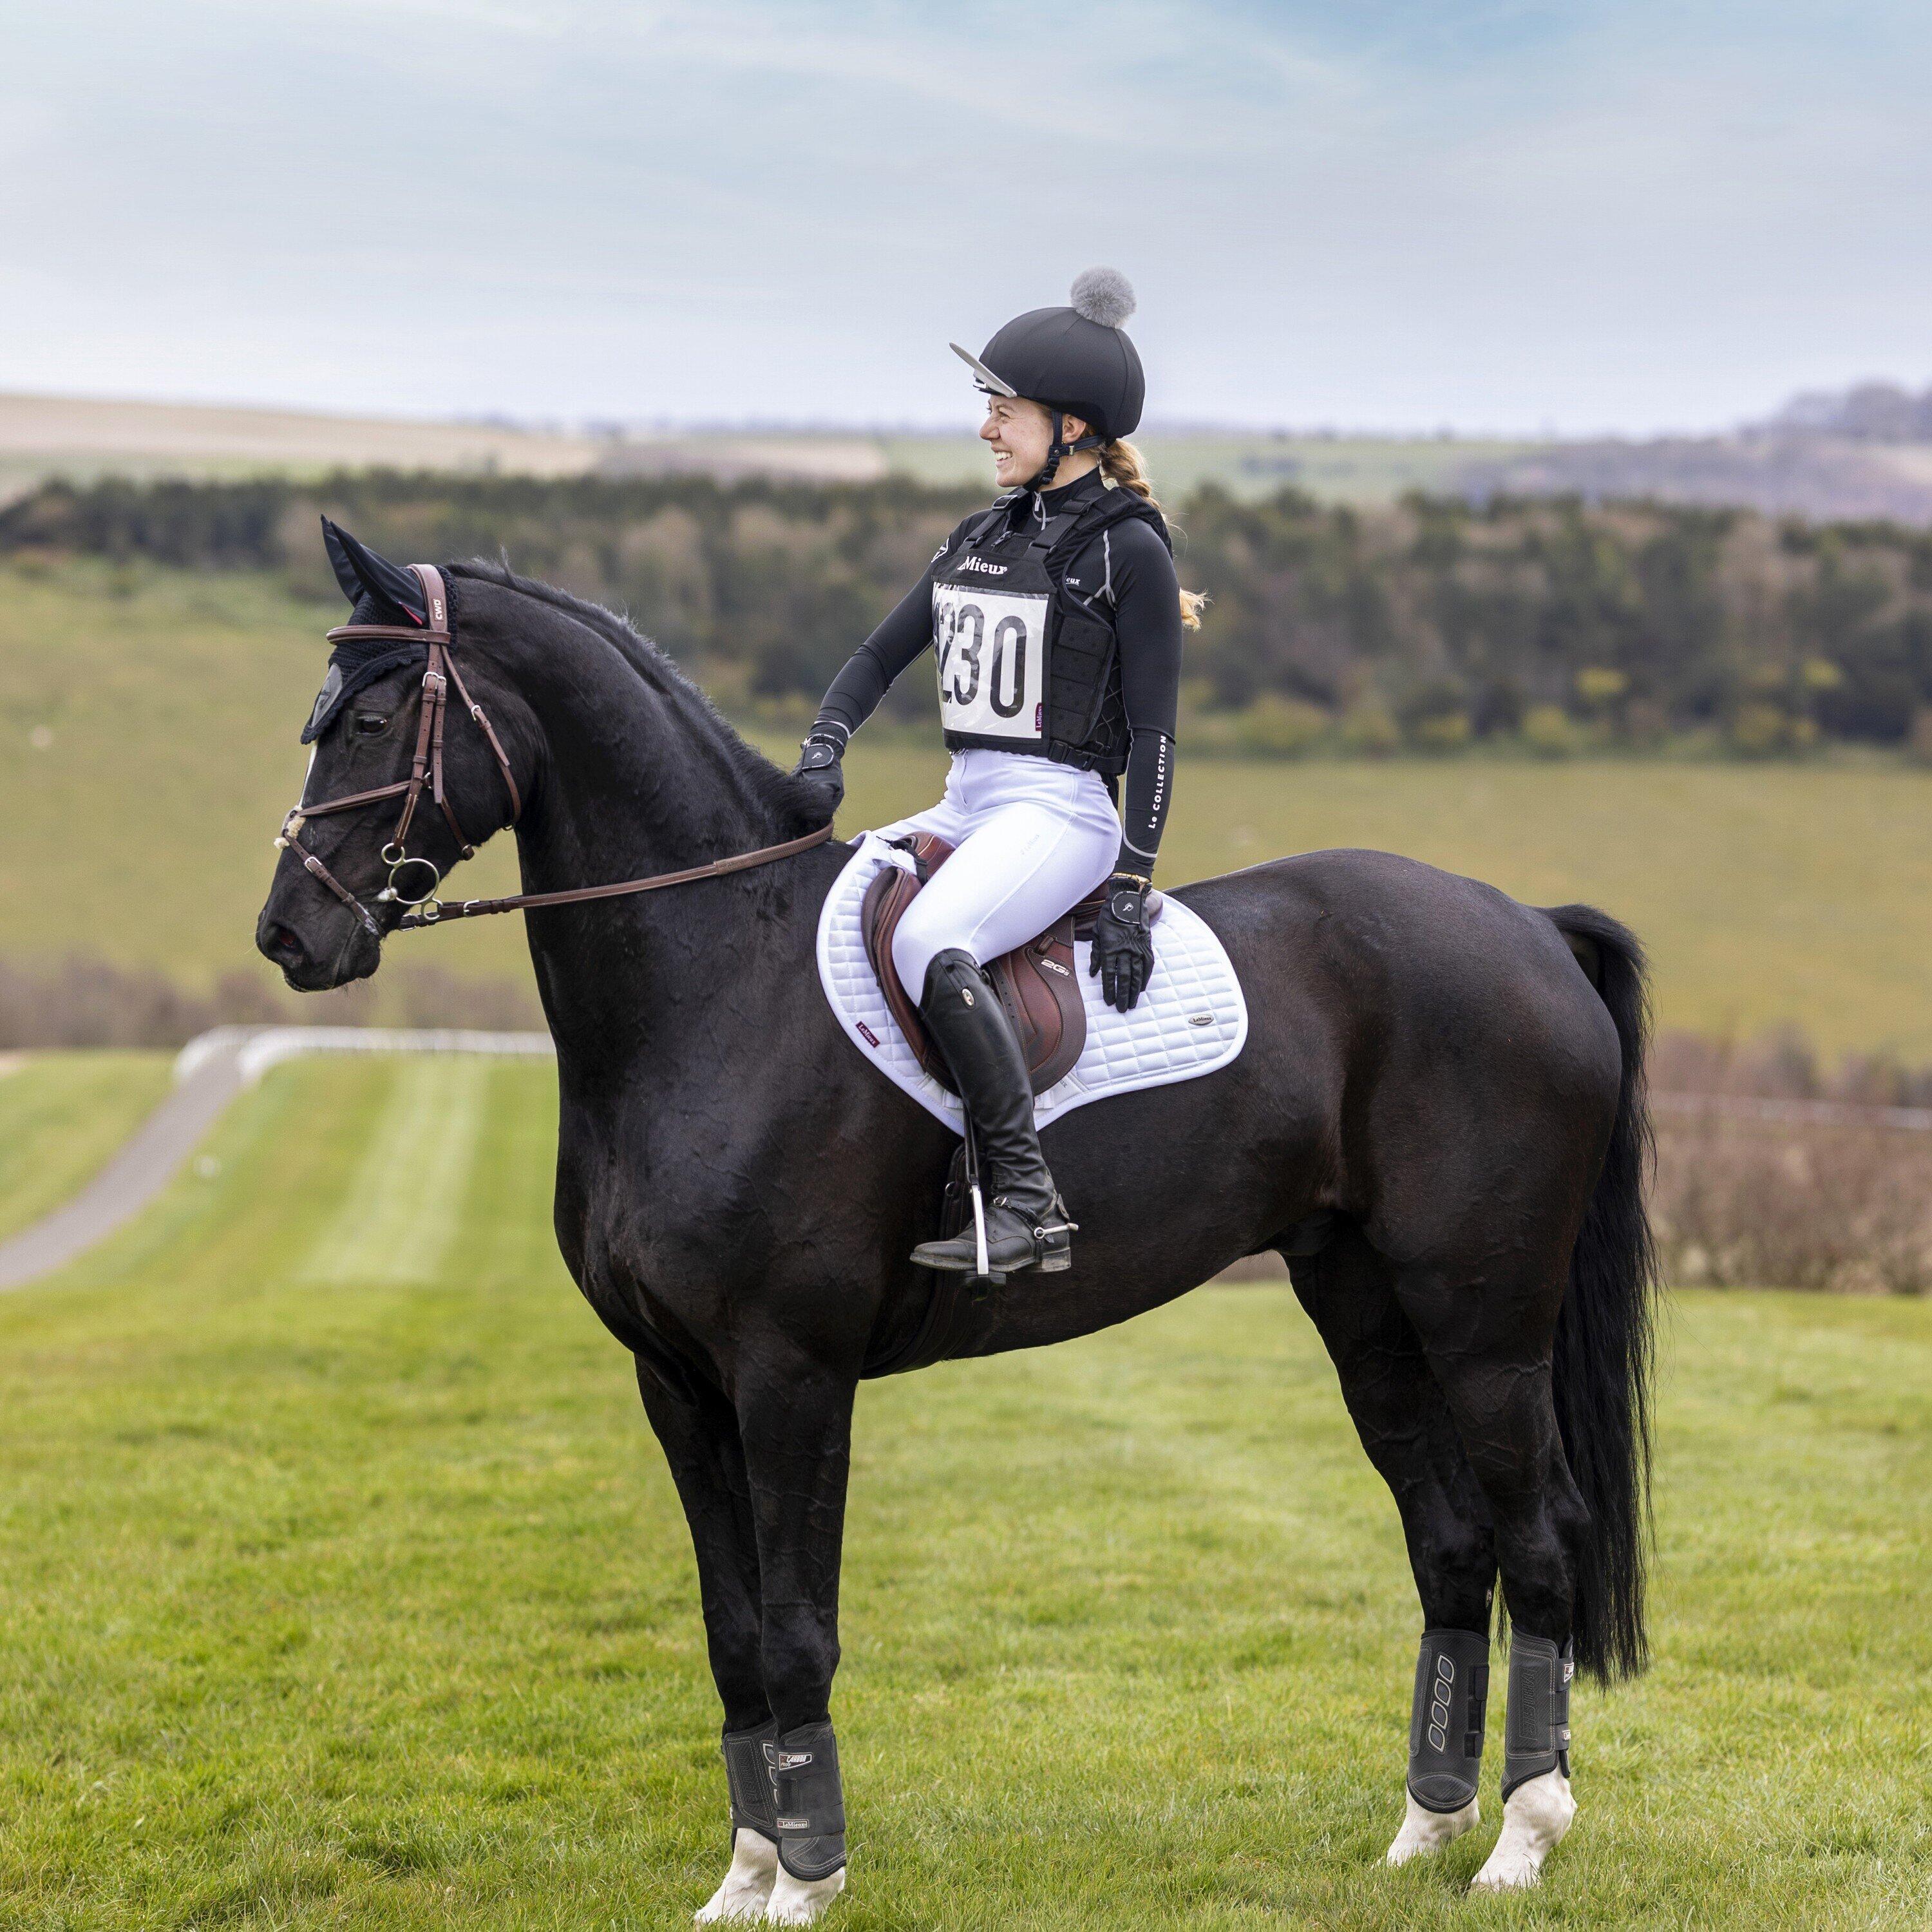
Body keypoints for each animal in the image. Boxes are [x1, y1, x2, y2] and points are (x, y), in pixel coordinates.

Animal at [256, 538, 1656, 1921]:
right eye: (319, 717)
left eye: (372, 721)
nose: (290, 935)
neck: (719, 982)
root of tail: (1530, 927)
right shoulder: (677, 1384)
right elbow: (732, 1633)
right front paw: (744, 1874)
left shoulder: (790, 1374)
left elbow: (797, 1629)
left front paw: (806, 1878)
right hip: (1365, 1306)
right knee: (1451, 1540)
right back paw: (1426, 1831)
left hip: (1484, 1326)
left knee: (1541, 1540)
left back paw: (1519, 1843)